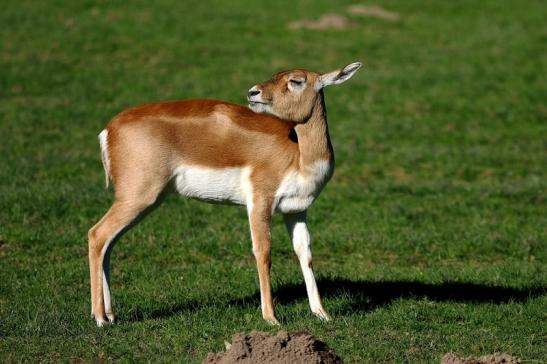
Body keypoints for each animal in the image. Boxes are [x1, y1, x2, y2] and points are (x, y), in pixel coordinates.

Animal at [89, 61, 364, 326]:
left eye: (296, 80)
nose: (254, 92)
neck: (300, 155)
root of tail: (109, 129)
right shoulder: (260, 201)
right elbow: (263, 253)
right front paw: (271, 318)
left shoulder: (296, 210)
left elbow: (304, 254)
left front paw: (322, 313)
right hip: (138, 196)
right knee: (97, 235)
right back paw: (100, 318)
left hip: (144, 201)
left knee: (108, 243)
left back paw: (110, 315)